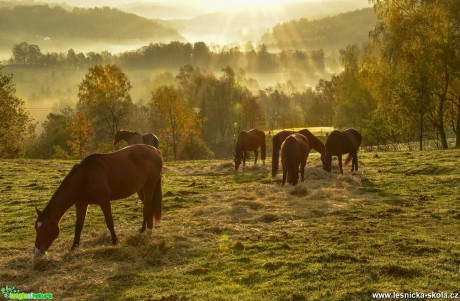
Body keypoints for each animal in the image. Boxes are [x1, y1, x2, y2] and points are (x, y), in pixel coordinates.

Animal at [32, 144, 162, 254]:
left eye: (46, 228)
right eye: (36, 228)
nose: (37, 252)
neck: (85, 177)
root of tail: (155, 150)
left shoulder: (104, 202)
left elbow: (109, 222)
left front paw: (115, 241)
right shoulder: (81, 204)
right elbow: (78, 226)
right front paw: (74, 247)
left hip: (149, 186)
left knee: (147, 208)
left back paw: (145, 230)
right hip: (141, 189)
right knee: (148, 207)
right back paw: (147, 229)